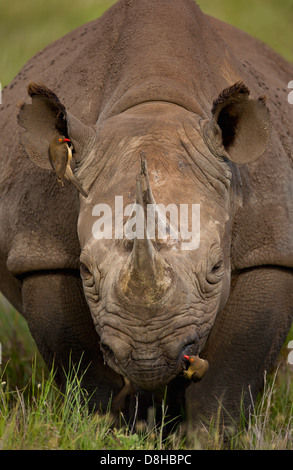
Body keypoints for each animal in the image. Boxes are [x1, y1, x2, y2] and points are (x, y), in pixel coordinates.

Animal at [0, 0, 292, 428]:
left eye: (216, 268)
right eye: (85, 271)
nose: (146, 355)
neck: (155, 106)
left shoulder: (270, 247)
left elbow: (232, 375)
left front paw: (208, 435)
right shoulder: (42, 253)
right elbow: (84, 369)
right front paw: (108, 430)